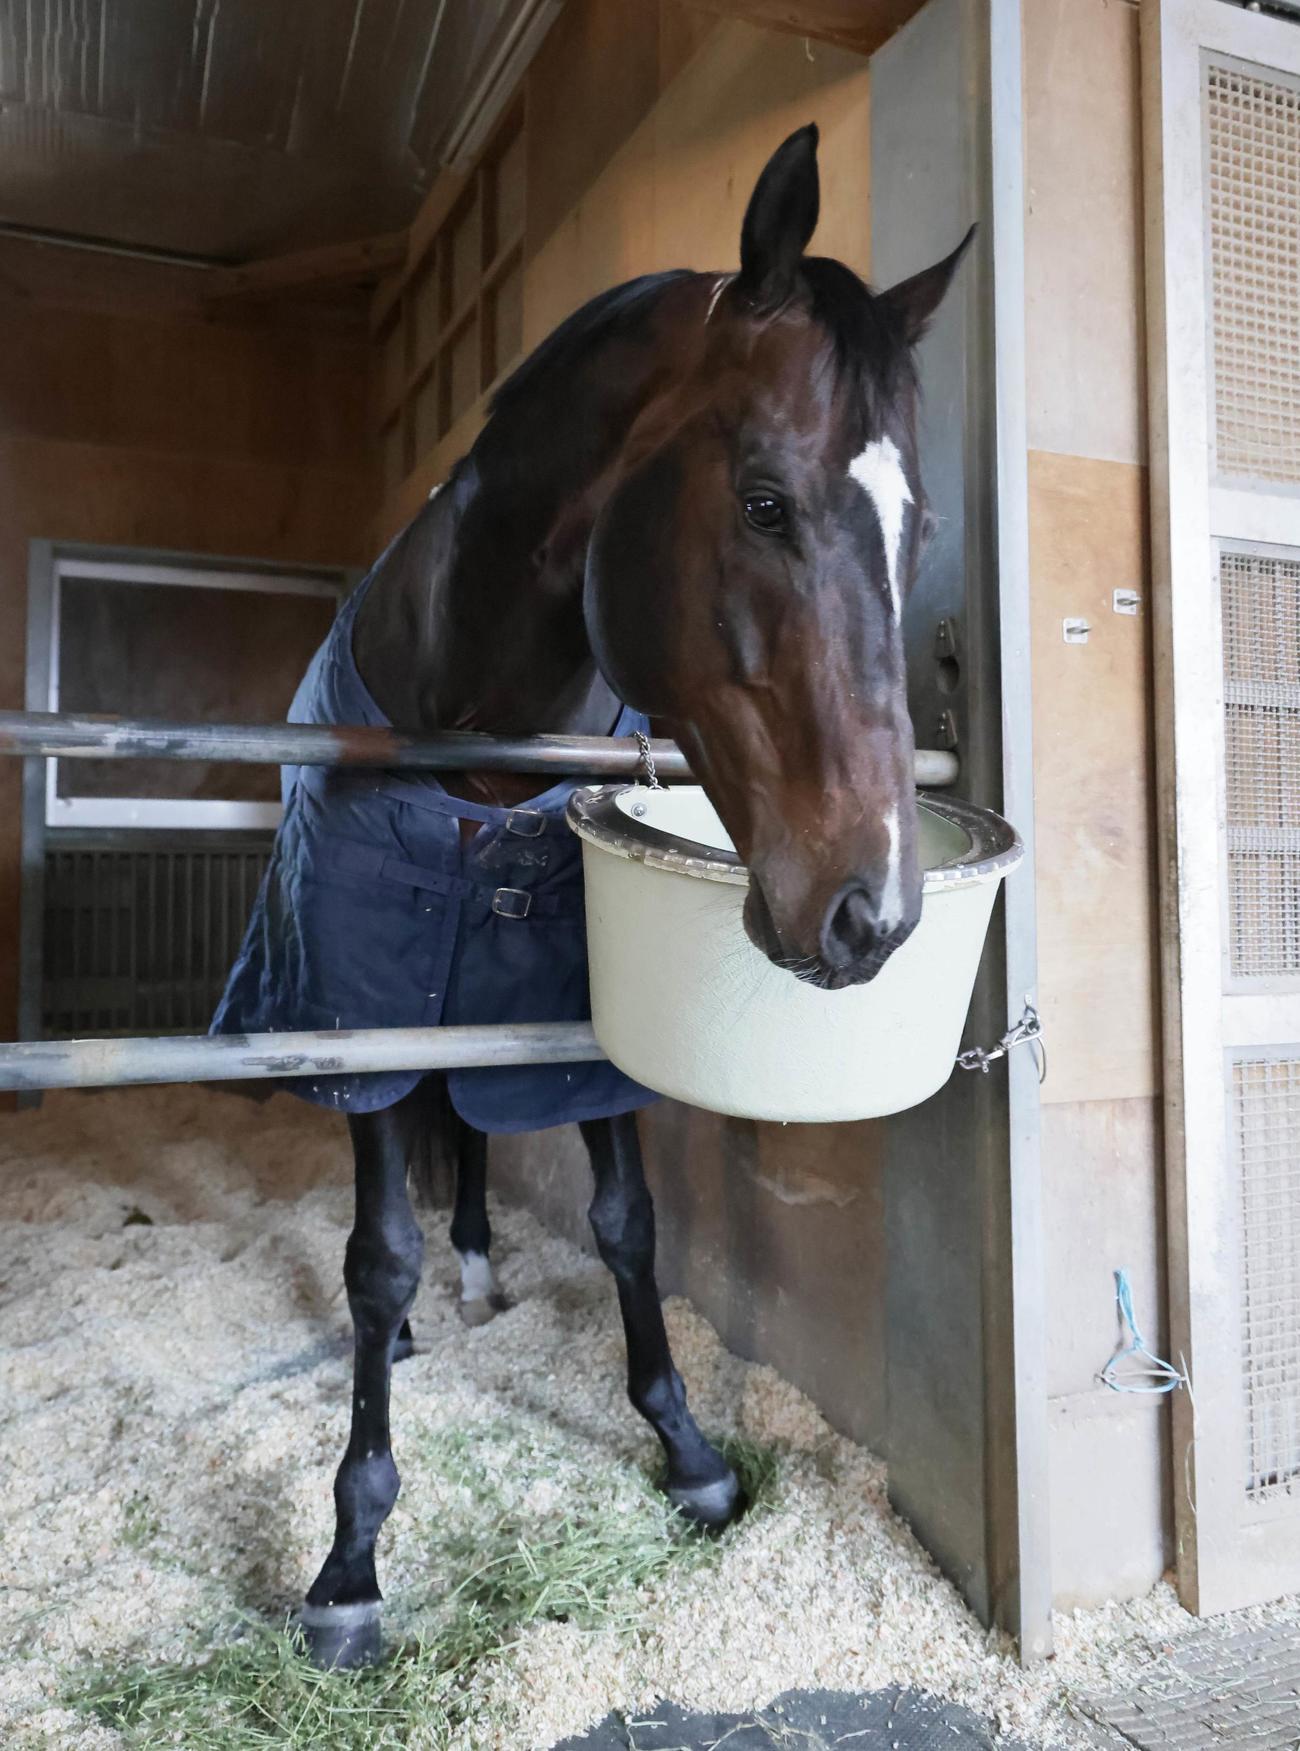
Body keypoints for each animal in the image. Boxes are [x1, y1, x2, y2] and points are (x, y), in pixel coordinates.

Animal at [212, 123, 971, 1668]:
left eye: (915, 523)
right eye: (764, 499)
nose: (871, 912)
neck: (474, 714)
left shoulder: (574, 1013)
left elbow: (627, 1220)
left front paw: (690, 1454)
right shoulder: (366, 1014)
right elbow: (373, 1258)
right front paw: (351, 1560)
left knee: (470, 1140)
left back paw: (485, 1266)